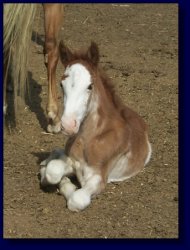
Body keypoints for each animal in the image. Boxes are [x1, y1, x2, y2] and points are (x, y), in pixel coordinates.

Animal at [40, 41, 151, 211]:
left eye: (90, 86)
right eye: (61, 84)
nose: (68, 125)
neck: (89, 138)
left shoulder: (98, 177)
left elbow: (76, 199)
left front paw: (66, 184)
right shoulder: (74, 162)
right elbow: (52, 171)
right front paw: (52, 173)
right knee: (57, 152)